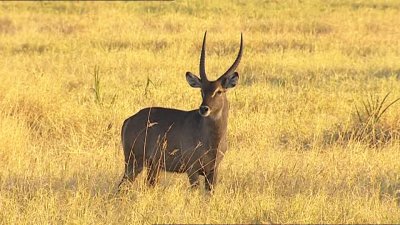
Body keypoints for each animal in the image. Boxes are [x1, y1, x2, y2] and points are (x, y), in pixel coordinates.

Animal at [118, 32, 244, 192]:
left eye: (219, 91)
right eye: (202, 90)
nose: (204, 109)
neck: (213, 139)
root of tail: (129, 119)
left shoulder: (213, 171)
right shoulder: (192, 170)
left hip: (153, 166)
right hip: (134, 162)